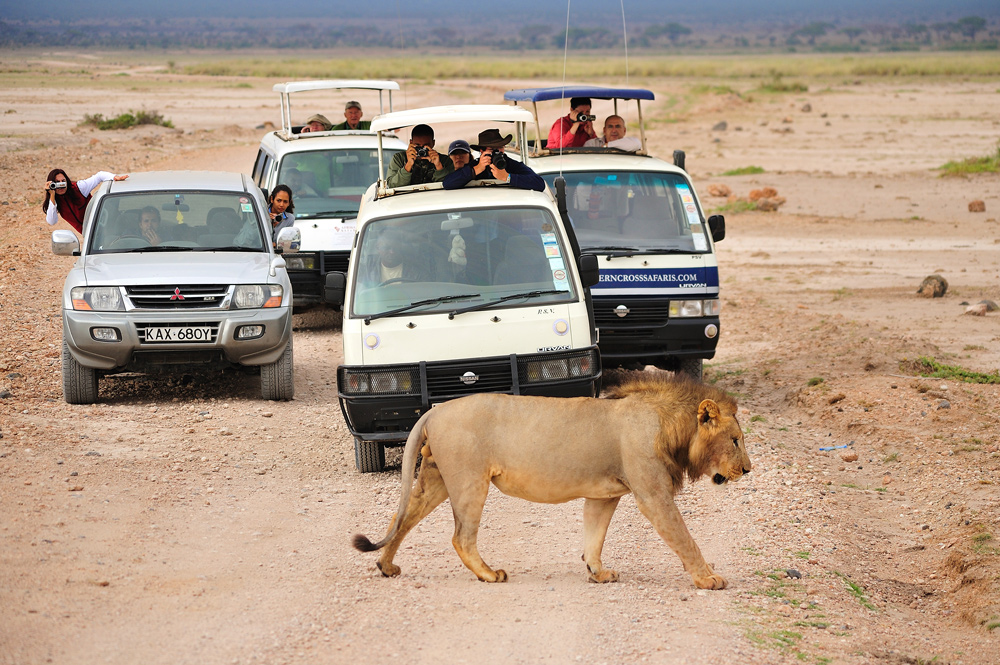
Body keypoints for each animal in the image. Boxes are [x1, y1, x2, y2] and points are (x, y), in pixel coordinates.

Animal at [352, 374, 752, 588]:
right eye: (735, 440)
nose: (748, 469)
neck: (671, 427)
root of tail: (433, 412)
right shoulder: (653, 494)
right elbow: (684, 538)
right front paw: (708, 579)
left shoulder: (604, 495)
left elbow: (594, 536)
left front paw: (598, 572)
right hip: (469, 481)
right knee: (461, 537)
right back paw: (490, 574)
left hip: (436, 478)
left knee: (401, 517)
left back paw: (386, 566)